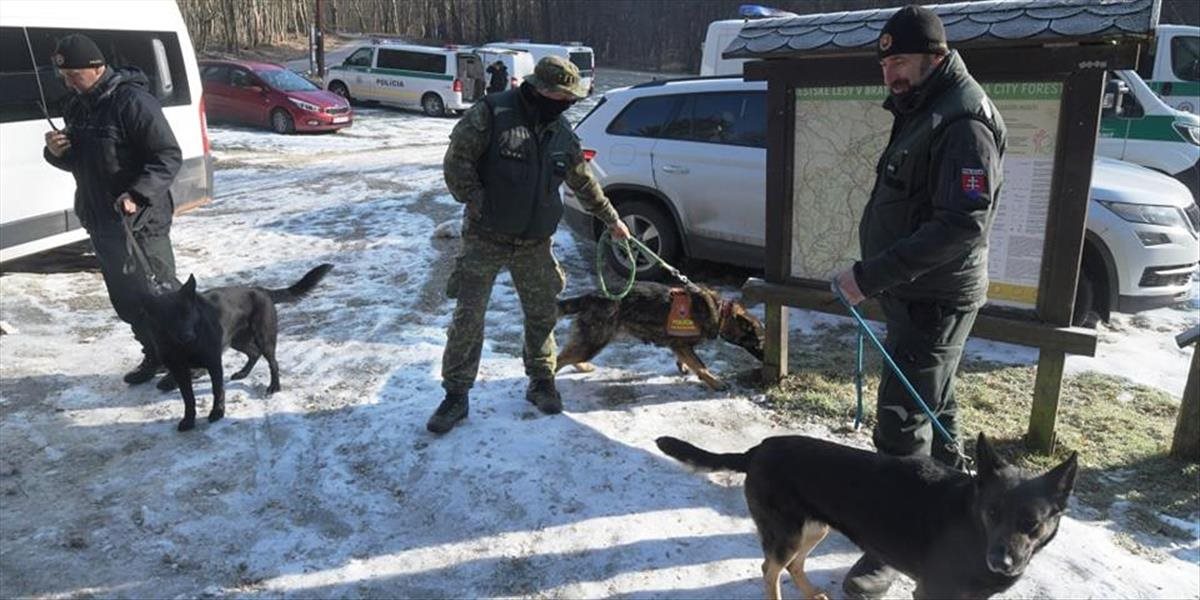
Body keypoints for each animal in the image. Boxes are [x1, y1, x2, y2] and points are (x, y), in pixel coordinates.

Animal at [142, 265, 336, 429]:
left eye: (188, 313)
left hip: (263, 337)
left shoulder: (214, 363)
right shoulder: (179, 370)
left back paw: (274, 386)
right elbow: (188, 397)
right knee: (254, 353)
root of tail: (260, 290)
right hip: (237, 340)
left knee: (272, 363)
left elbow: (217, 390)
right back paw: (243, 373)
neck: (183, 346)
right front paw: (189, 420)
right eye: (167, 317)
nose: (188, 336)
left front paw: (217, 412)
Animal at [554, 279, 763, 388]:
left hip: (589, 342)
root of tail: (590, 296)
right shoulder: (681, 344)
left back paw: (582, 367)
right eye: (760, 341)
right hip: (593, 342)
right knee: (559, 359)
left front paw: (684, 367)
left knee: (567, 354)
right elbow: (701, 366)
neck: (721, 312)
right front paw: (715, 382)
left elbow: (687, 360)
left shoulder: (680, 346)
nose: (765, 359)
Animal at [657, 434, 1080, 597]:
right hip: (788, 533)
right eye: (992, 512)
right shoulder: (932, 592)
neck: (972, 527)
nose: (1001, 562)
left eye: (1032, 524)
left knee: (794, 565)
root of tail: (758, 449)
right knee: (770, 569)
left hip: (815, 529)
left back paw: (810, 594)